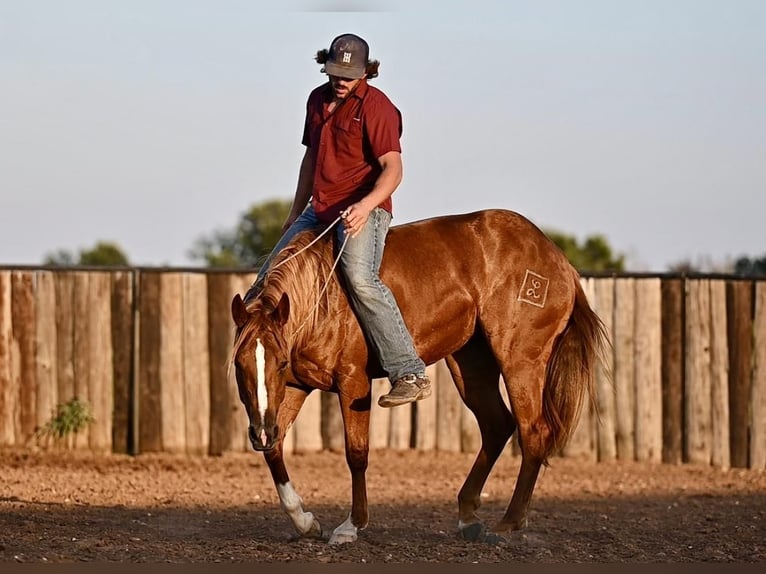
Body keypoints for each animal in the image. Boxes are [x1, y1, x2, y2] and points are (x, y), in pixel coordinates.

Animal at [228, 209, 608, 548]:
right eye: (239, 364)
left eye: (279, 362)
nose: (259, 432)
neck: (319, 299)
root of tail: (559, 262)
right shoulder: (295, 387)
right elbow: (275, 448)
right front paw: (305, 522)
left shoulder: (353, 383)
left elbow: (356, 453)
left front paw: (351, 526)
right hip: (470, 361)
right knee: (497, 424)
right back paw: (468, 516)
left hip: (520, 360)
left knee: (532, 432)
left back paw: (509, 523)